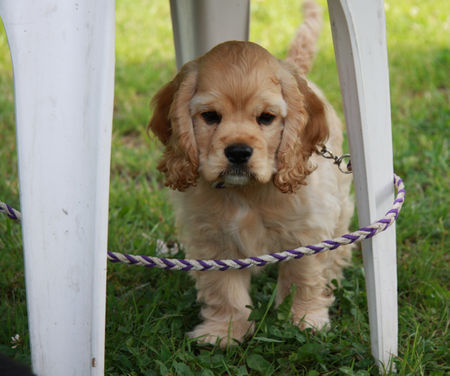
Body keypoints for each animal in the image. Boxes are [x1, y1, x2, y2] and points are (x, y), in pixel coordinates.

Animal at [149, 0, 354, 346]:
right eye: (210, 116)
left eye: (266, 118)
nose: (238, 152)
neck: (245, 192)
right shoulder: (212, 238)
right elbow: (224, 288)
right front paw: (224, 331)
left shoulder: (307, 230)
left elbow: (304, 276)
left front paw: (303, 320)